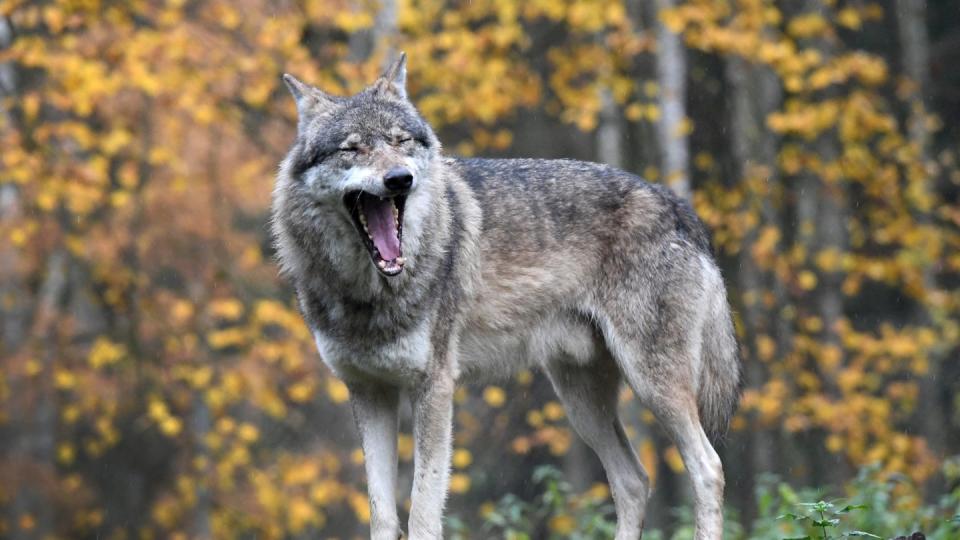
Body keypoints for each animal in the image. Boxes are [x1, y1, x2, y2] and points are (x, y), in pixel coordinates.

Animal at [272, 56, 744, 540]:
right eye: (352, 149)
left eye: (400, 141)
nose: (400, 178)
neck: (368, 295)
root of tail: (677, 205)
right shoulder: (368, 391)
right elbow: (382, 515)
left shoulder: (435, 388)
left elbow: (422, 512)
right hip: (581, 403)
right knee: (633, 480)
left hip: (652, 385)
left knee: (708, 468)